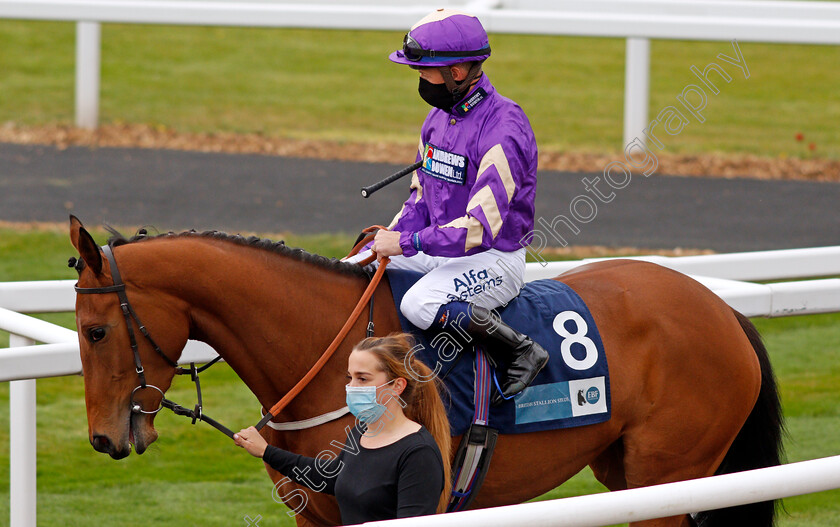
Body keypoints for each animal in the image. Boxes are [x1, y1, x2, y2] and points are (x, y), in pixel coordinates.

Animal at [69, 217, 784, 524]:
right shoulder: (316, 518)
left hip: (670, 476)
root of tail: (722, 309)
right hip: (627, 473)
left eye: (95, 330)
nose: (104, 438)